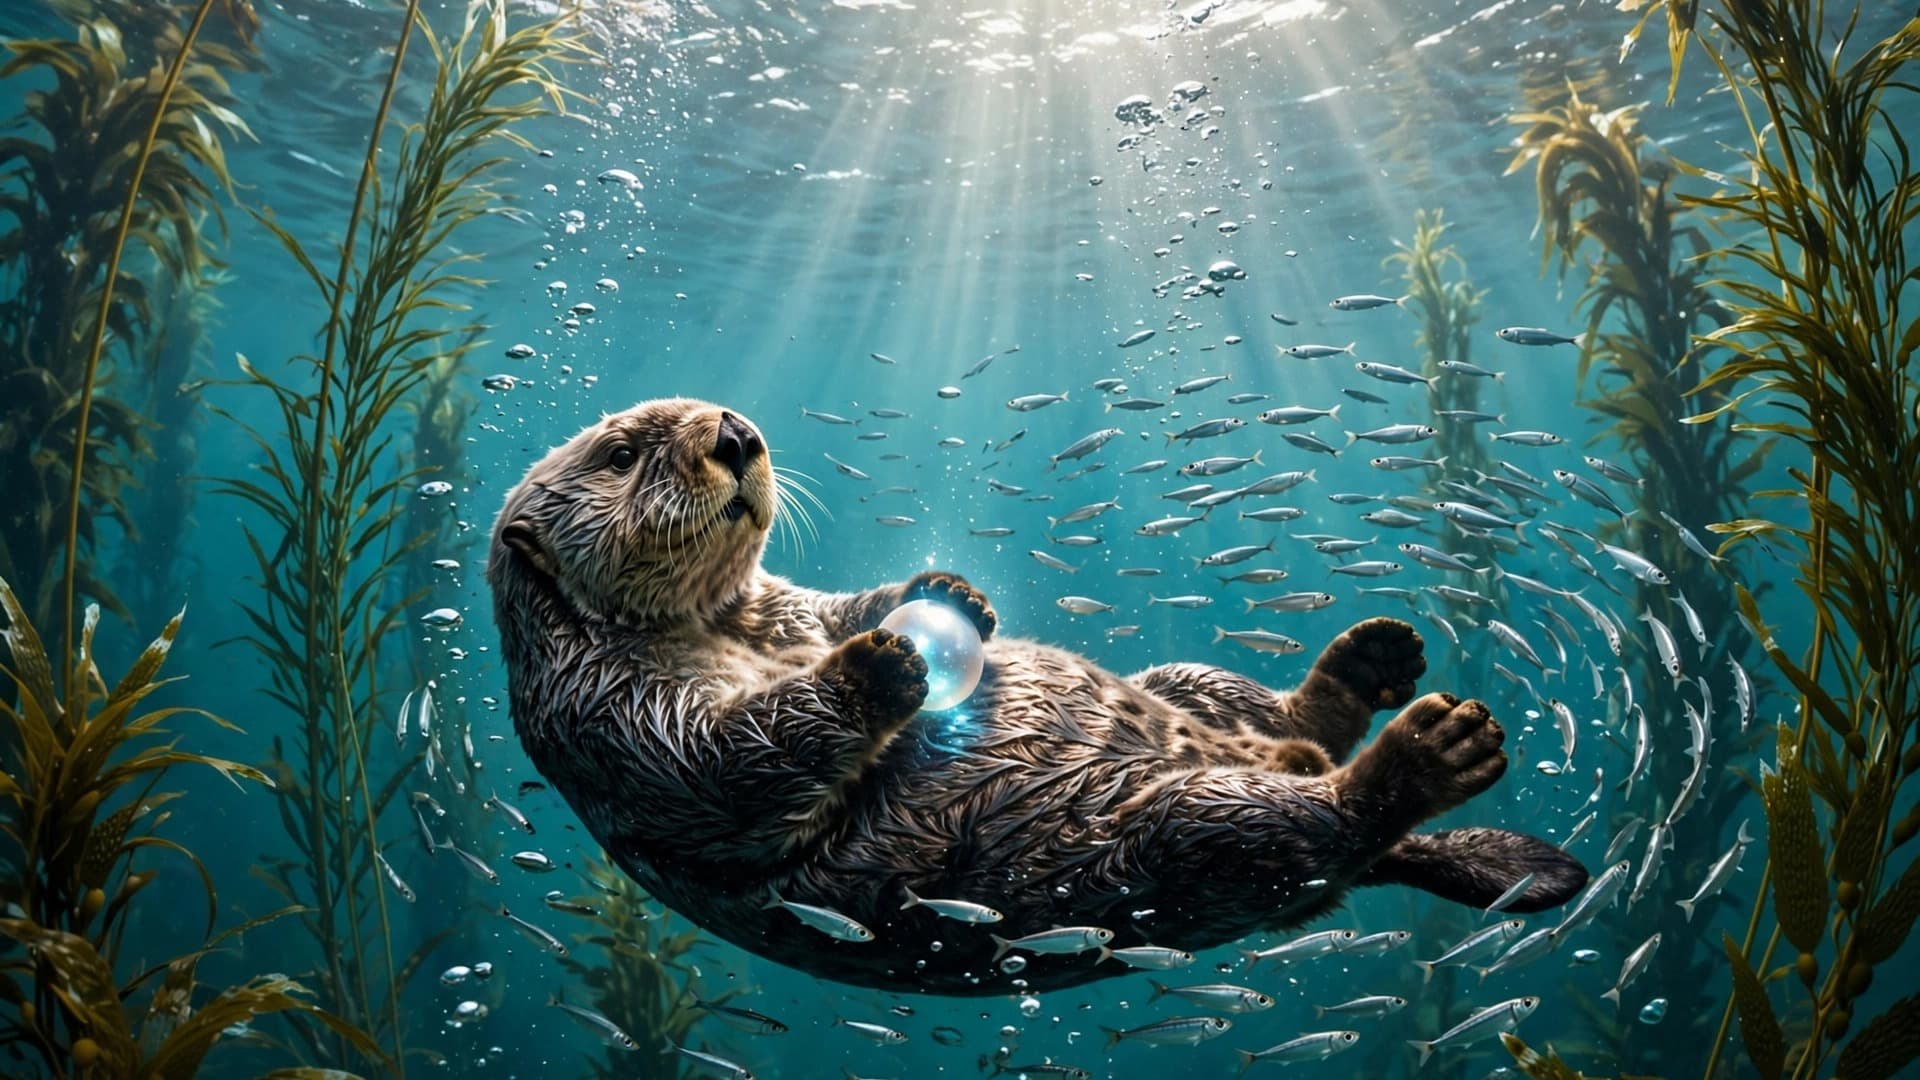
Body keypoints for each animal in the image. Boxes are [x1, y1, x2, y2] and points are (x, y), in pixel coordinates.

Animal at [489, 398, 1587, 995]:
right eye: (621, 454)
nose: (734, 431)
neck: (726, 626)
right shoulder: (610, 719)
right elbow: (732, 764)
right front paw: (883, 666)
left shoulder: (786, 606)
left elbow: (837, 606)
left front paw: (943, 598)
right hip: (1171, 838)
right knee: (1321, 821)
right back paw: (1435, 750)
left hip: (1195, 695)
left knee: (1281, 720)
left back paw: (1371, 660)